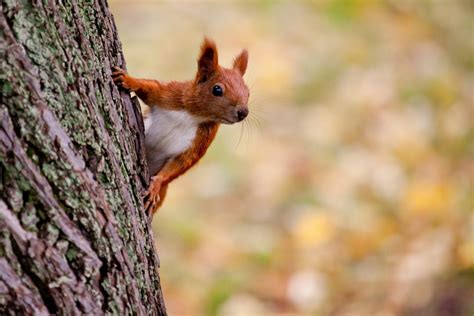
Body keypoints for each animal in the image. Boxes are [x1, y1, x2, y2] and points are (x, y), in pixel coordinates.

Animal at [112, 37, 250, 215]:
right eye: (217, 89)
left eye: (248, 92)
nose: (243, 112)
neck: (193, 115)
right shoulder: (171, 95)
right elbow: (149, 87)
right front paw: (127, 79)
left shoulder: (200, 141)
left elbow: (183, 162)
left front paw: (155, 185)